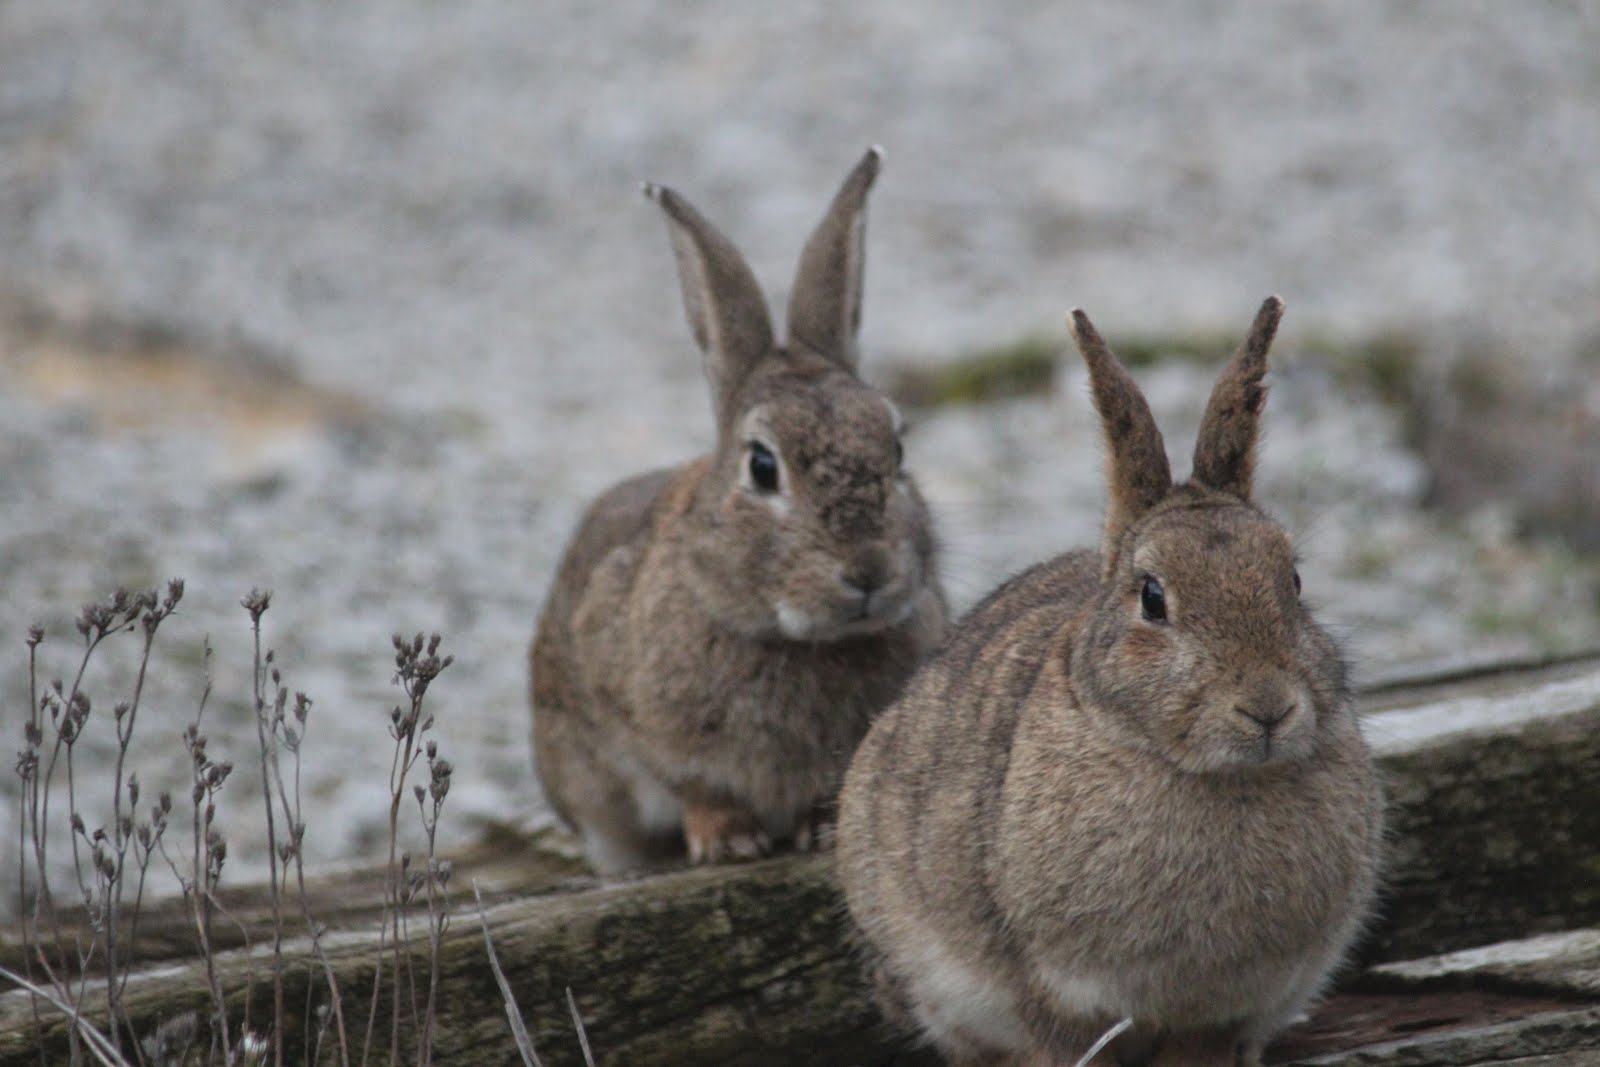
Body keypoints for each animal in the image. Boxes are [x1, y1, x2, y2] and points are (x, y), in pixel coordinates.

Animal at [531, 151, 940, 883]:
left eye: (897, 448)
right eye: (763, 466)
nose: (867, 571)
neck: (798, 640)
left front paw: (821, 827)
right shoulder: (647, 729)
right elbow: (696, 787)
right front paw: (727, 841)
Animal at [838, 294, 1388, 1067]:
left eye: (1295, 581)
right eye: (1153, 598)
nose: (1268, 707)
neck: (1211, 776)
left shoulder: (1227, 1011)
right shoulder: (1048, 991)